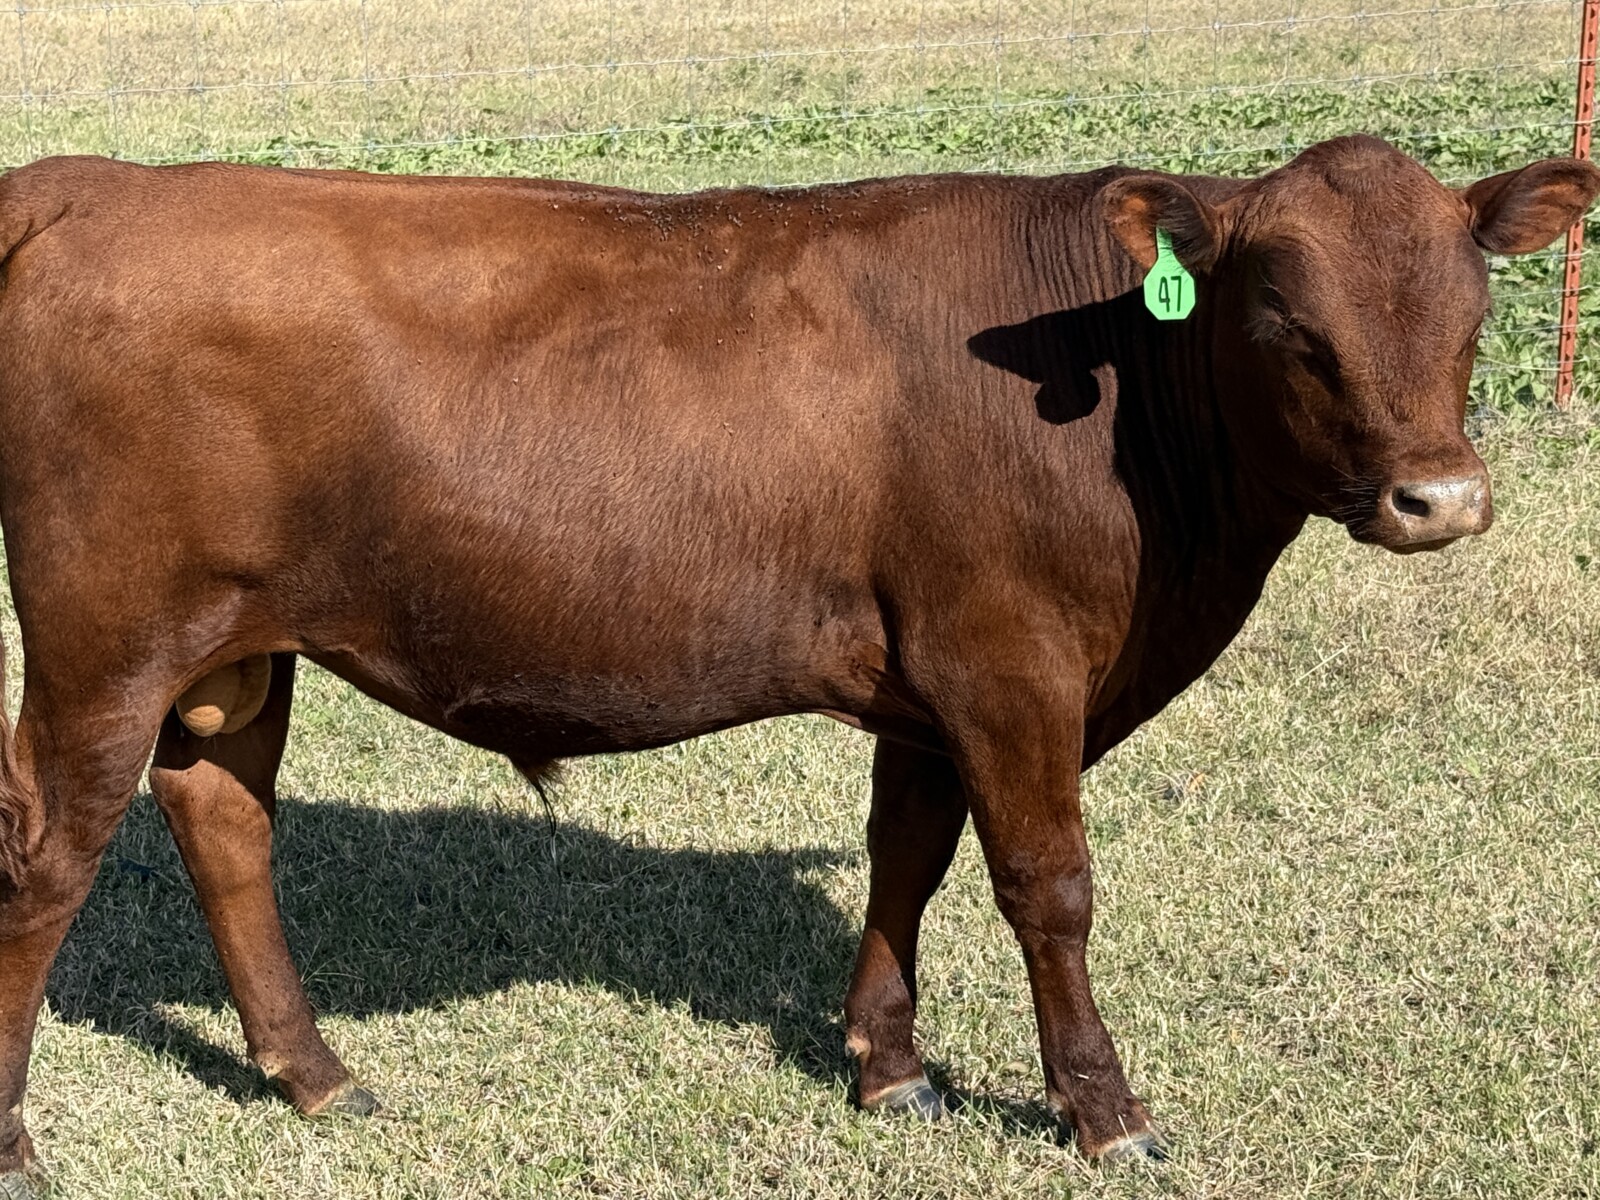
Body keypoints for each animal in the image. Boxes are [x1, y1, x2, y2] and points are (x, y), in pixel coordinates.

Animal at [0, 136, 1593, 1192]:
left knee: (224, 822)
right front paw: (1103, 1111)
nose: (1440, 499)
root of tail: (91, 177)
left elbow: (908, 856)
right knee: (51, 856)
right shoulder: (1010, 661)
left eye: (1474, 306)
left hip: (236, 651)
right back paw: (20, 1138)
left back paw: (318, 1079)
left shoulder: (931, 679)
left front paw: (888, 1070)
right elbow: (1049, 889)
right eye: (1283, 321)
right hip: (101, 643)